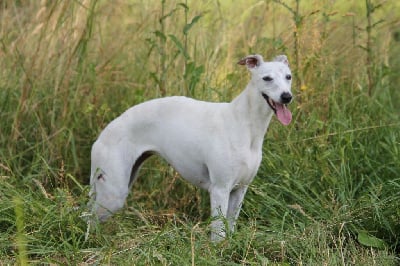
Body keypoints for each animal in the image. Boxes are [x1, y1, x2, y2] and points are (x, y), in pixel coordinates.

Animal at [89, 54, 292, 241]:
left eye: (288, 76)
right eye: (267, 78)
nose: (287, 97)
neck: (245, 123)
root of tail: (100, 137)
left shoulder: (239, 190)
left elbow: (230, 227)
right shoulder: (220, 189)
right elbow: (218, 234)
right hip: (113, 194)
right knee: (89, 218)